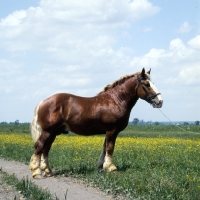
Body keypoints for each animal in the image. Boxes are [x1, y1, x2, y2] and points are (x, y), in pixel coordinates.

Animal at [29, 68, 162, 178]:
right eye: (147, 84)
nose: (160, 101)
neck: (116, 100)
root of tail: (44, 101)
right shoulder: (112, 131)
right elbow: (110, 148)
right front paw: (111, 168)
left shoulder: (108, 132)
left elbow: (104, 148)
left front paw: (102, 167)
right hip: (47, 132)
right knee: (39, 147)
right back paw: (37, 172)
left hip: (53, 133)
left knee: (46, 149)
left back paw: (48, 171)